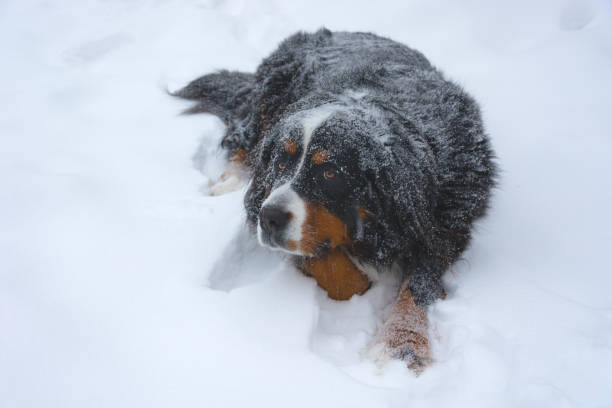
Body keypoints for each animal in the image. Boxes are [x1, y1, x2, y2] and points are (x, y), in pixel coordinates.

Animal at [172, 27, 498, 368]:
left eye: (329, 173)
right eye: (280, 163)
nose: (269, 218)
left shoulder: (447, 227)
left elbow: (419, 284)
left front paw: (400, 343)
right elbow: (333, 269)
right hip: (268, 97)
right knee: (244, 137)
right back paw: (232, 180)